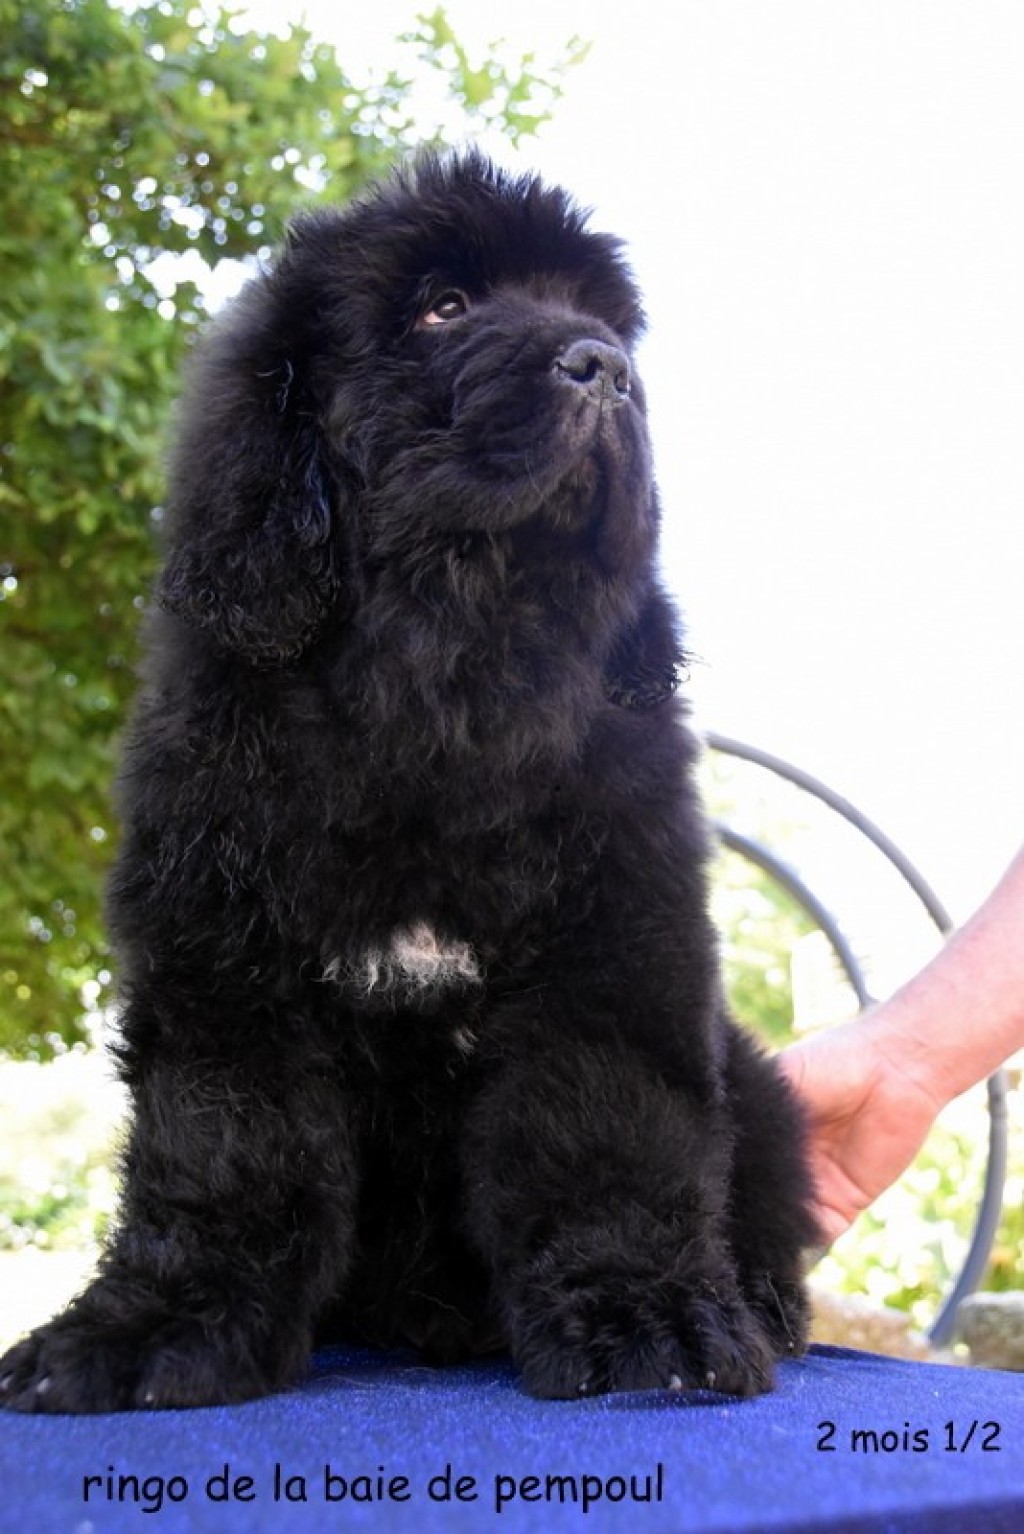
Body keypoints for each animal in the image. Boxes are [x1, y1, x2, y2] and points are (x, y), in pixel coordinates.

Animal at [0, 151, 817, 1411]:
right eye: (444, 306)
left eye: (603, 319)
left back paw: (761, 1297)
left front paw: (649, 1311)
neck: (447, 674)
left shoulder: (614, 945)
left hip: (759, 1085)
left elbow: (609, 1128)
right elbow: (223, 1150)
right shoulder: (223, 953)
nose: (605, 368)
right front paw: (153, 1327)